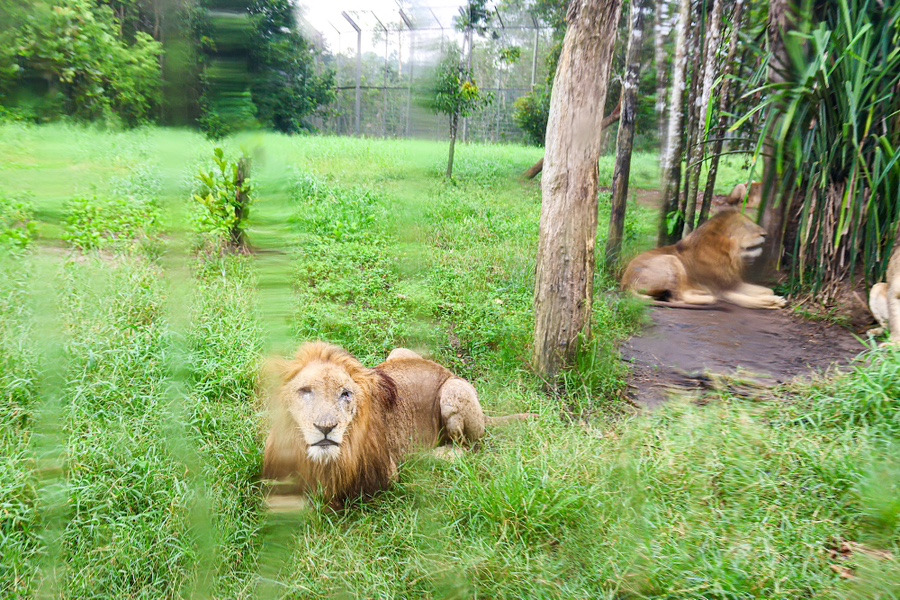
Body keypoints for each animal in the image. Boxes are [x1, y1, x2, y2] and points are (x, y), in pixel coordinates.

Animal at [260, 340, 532, 508]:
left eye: (346, 394)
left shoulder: (381, 477)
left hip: (455, 390)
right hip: (399, 351)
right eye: (305, 391)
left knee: (469, 448)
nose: (325, 428)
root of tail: (449, 371)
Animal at [624, 209, 784, 310]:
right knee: (677, 298)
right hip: (672, 260)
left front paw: (774, 298)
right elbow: (747, 300)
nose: (765, 234)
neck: (728, 255)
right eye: (747, 225)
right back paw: (709, 298)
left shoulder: (733, 283)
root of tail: (625, 283)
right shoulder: (721, 289)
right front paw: (773, 302)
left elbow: (768, 290)